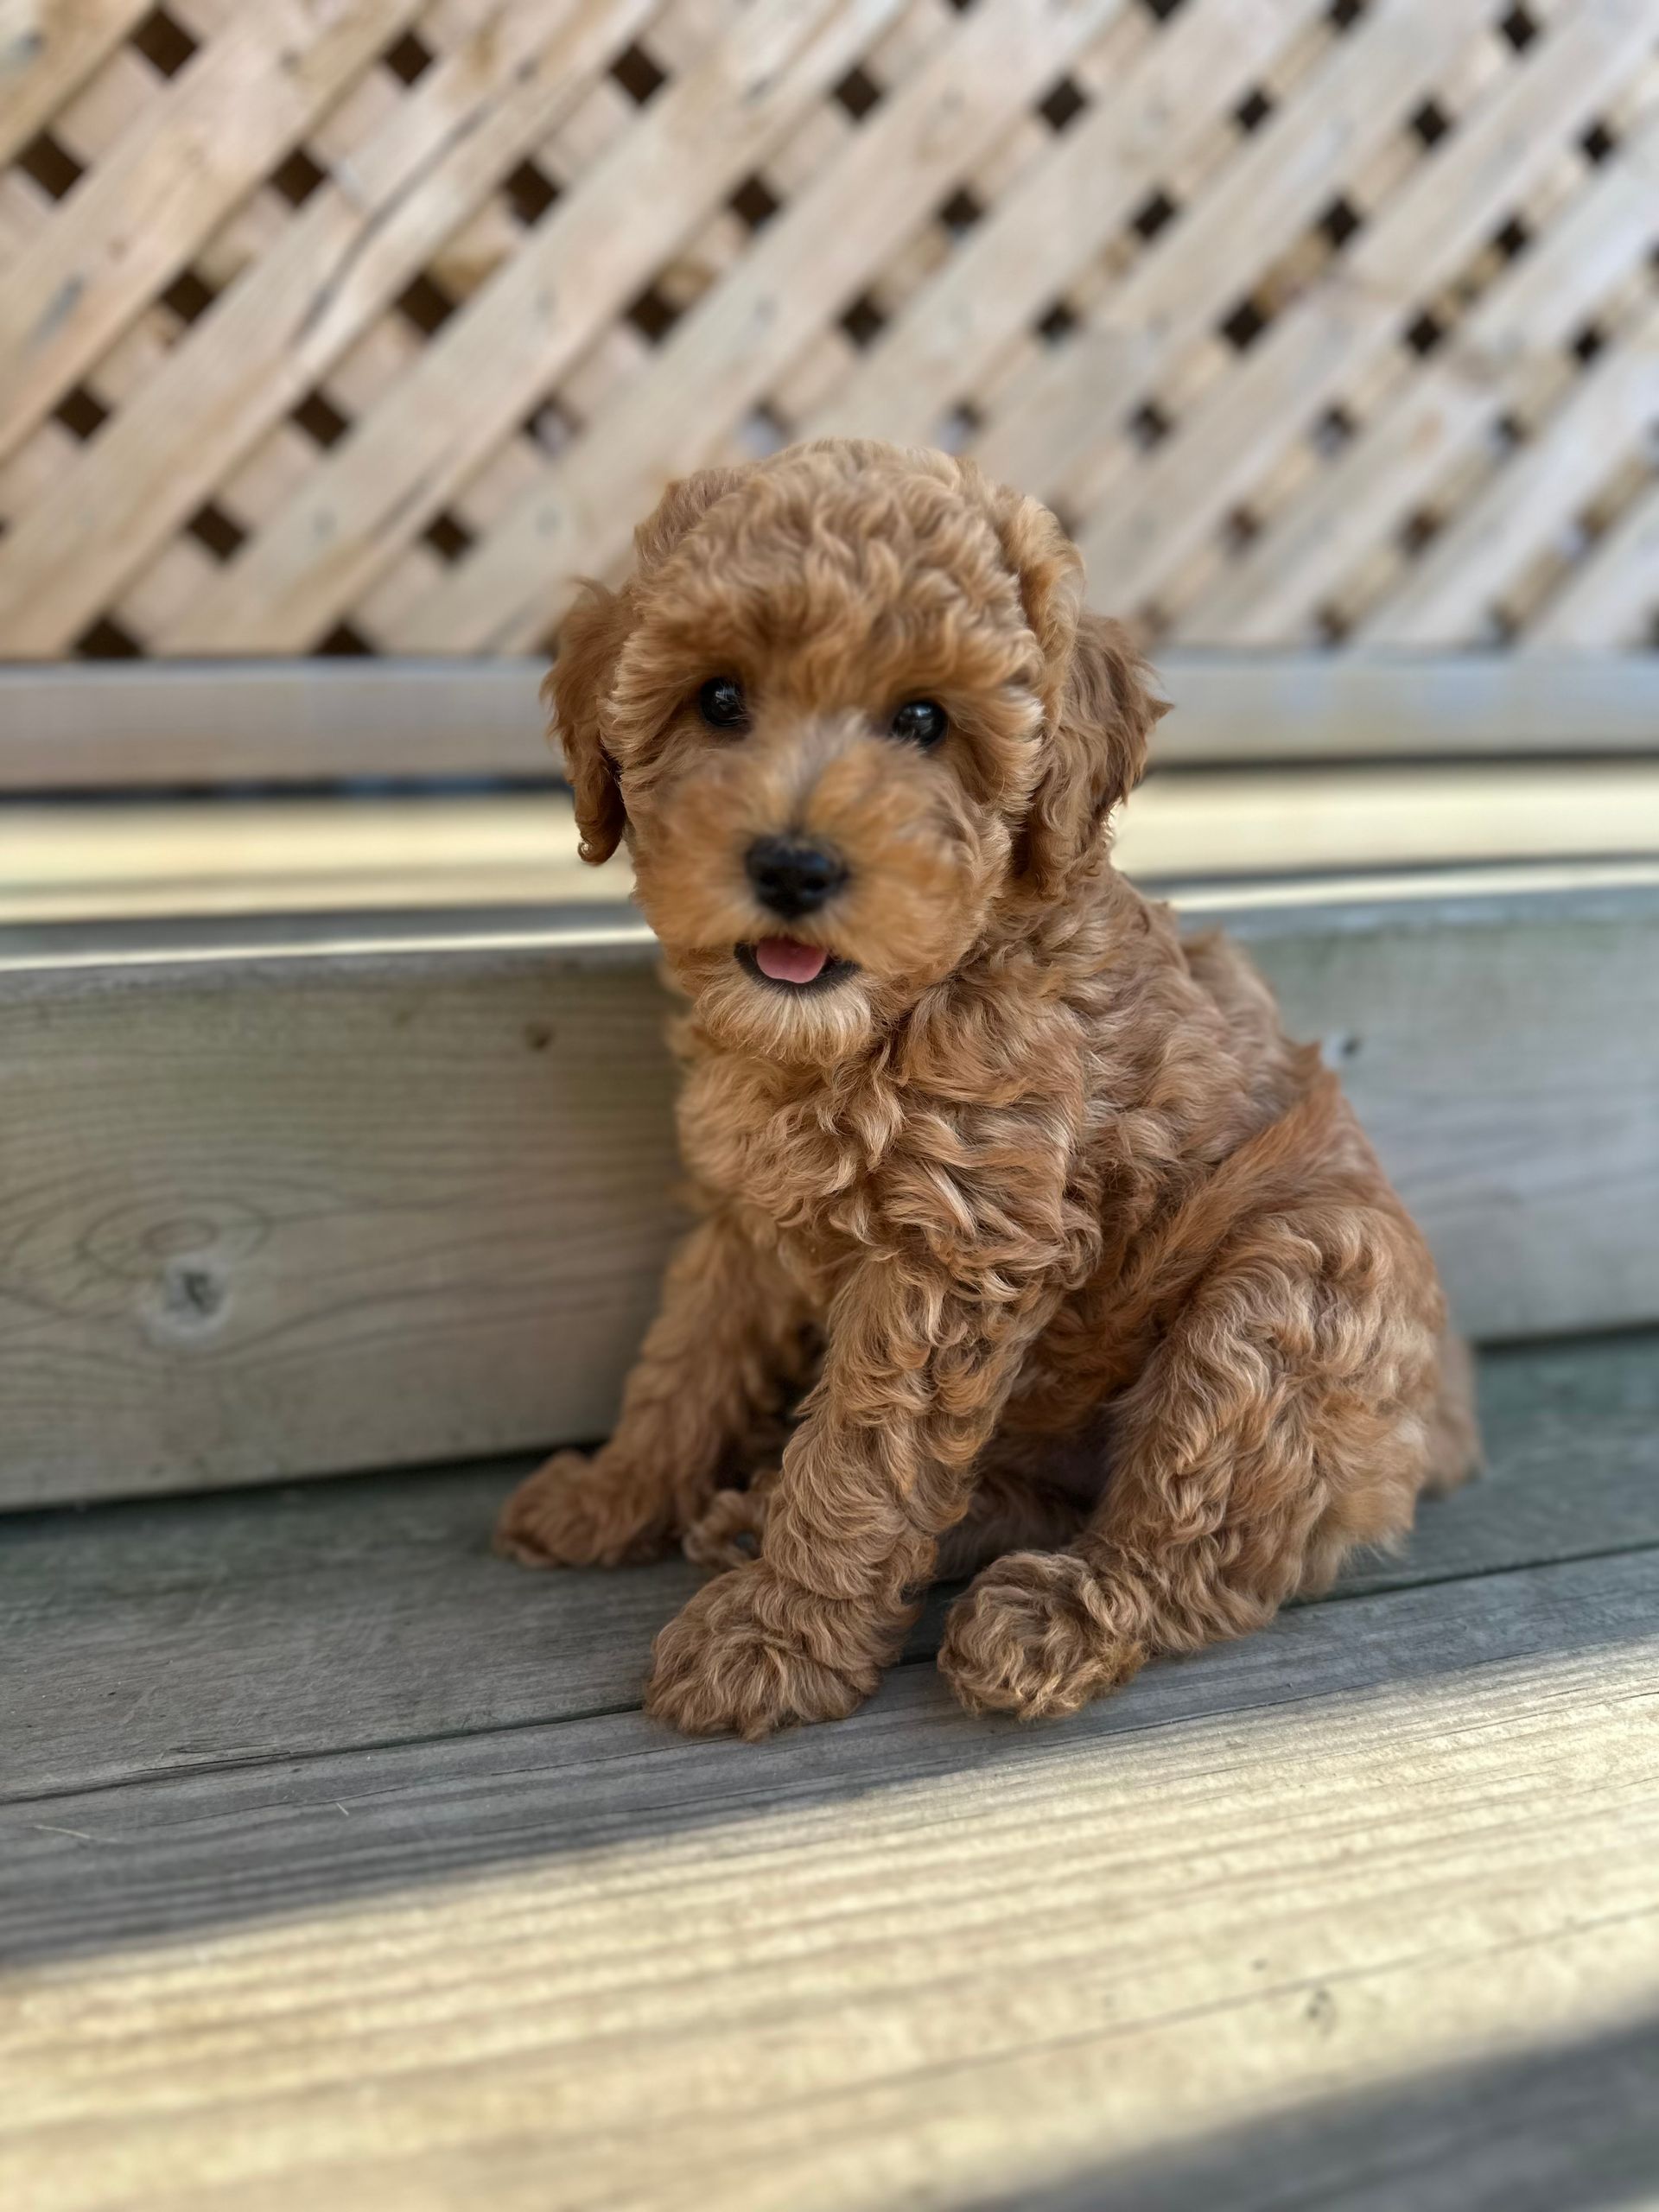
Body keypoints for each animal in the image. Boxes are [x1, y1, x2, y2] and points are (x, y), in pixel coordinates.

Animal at [497, 438, 1480, 1740]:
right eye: (717, 700)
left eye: (924, 719)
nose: (795, 865)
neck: (876, 1020)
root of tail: (1435, 1426)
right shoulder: (743, 1215)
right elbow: (685, 1358)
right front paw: (616, 1494)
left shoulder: (955, 1247)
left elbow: (865, 1460)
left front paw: (774, 1641)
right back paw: (762, 1515)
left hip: (1297, 1291)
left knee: (1193, 1550)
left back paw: (1057, 1617)